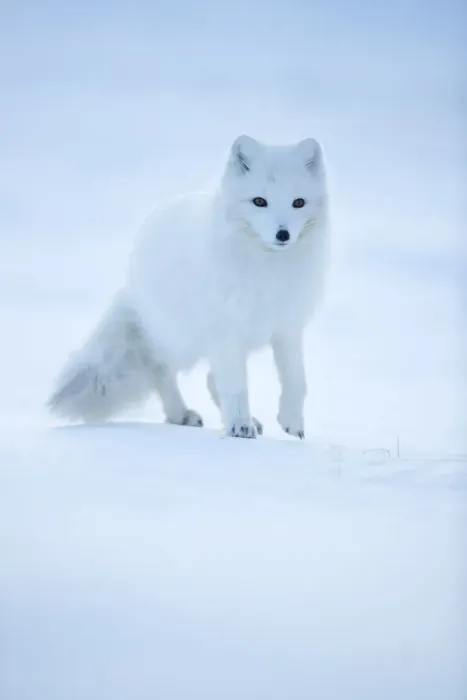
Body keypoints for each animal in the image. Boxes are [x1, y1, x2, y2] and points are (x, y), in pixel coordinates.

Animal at [47, 135, 329, 439]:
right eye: (259, 201)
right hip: (179, 339)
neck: (267, 270)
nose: (283, 234)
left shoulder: (287, 327)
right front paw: (239, 425)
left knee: (210, 378)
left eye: (298, 202)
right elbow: (236, 387)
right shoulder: (226, 330)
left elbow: (297, 380)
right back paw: (180, 414)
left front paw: (291, 421)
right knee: (160, 368)